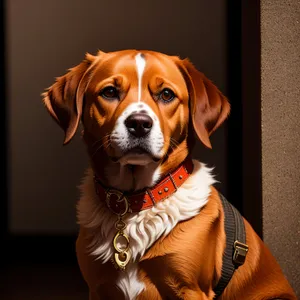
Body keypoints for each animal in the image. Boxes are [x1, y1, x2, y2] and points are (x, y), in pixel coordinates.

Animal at [42, 50, 298, 298]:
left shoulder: (191, 289)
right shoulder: (99, 288)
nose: (139, 123)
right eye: (110, 92)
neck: (133, 204)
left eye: (166, 94)